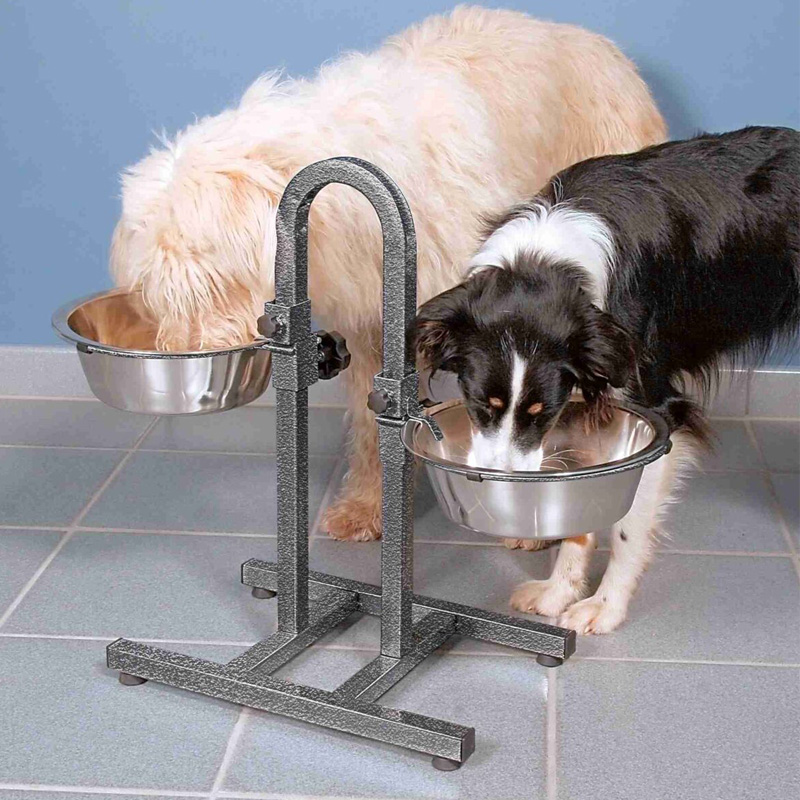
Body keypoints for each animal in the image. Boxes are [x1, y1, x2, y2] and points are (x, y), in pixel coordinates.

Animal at [110, 6, 665, 542]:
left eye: (211, 283)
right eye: (159, 294)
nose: (182, 350)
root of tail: (597, 42)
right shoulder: (372, 327)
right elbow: (375, 417)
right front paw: (366, 508)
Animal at [412, 126, 800, 634]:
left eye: (542, 412)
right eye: (481, 406)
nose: (503, 485)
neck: (546, 261)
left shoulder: (654, 407)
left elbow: (627, 526)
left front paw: (605, 606)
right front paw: (558, 591)